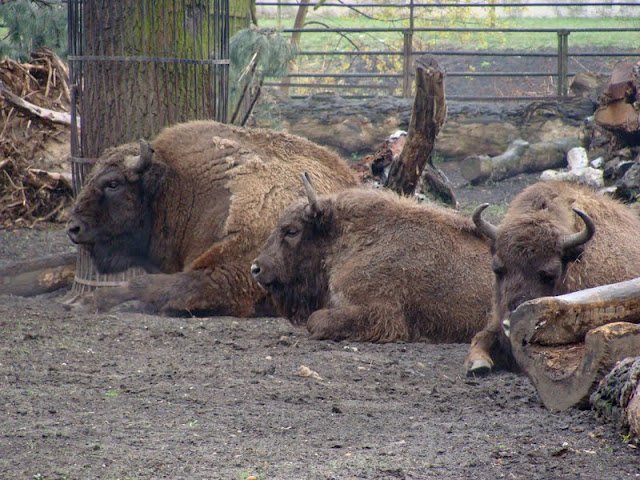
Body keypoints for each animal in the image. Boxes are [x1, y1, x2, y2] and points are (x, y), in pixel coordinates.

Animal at [67, 121, 359, 316]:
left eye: (113, 183)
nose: (73, 228)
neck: (178, 188)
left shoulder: (230, 274)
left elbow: (148, 283)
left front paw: (87, 302)